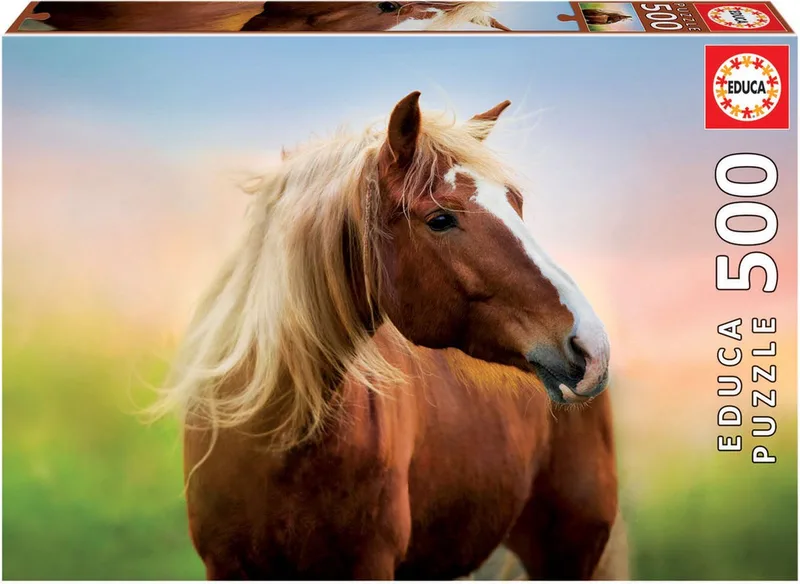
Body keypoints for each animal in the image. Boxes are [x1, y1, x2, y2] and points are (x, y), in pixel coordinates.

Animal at [154, 91, 624, 579]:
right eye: (440, 219)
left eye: (516, 202)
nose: (591, 346)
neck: (276, 439)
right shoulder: (225, 564)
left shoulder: (369, 563)